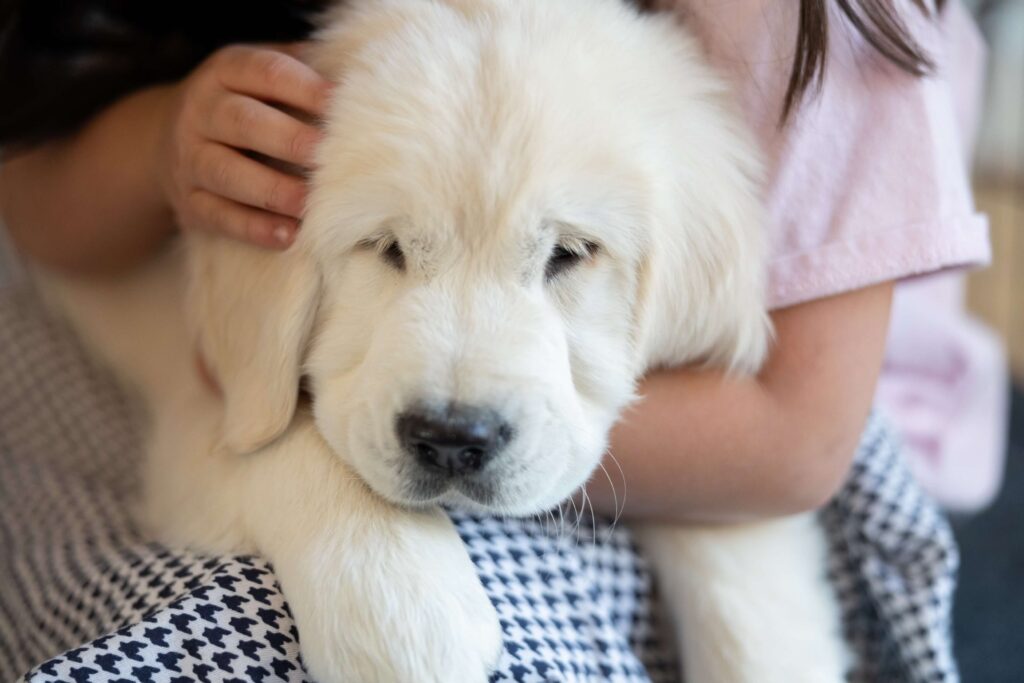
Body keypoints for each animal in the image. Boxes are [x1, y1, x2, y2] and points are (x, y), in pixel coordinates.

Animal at [41, 1, 847, 683]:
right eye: (387, 248)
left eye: (569, 254)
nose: (455, 440)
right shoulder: (192, 389)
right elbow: (282, 439)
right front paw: (404, 618)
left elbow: (742, 553)